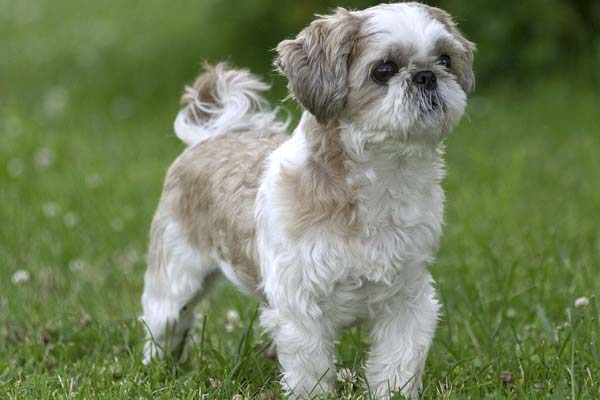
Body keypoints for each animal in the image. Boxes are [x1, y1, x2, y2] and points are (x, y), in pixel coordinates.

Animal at [141, 2, 474, 396]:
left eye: (445, 59)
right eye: (383, 70)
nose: (426, 76)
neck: (378, 188)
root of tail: (215, 134)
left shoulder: (407, 301)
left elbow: (398, 363)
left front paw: (393, 392)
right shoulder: (300, 307)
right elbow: (310, 370)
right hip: (177, 277)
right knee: (163, 322)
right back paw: (157, 369)